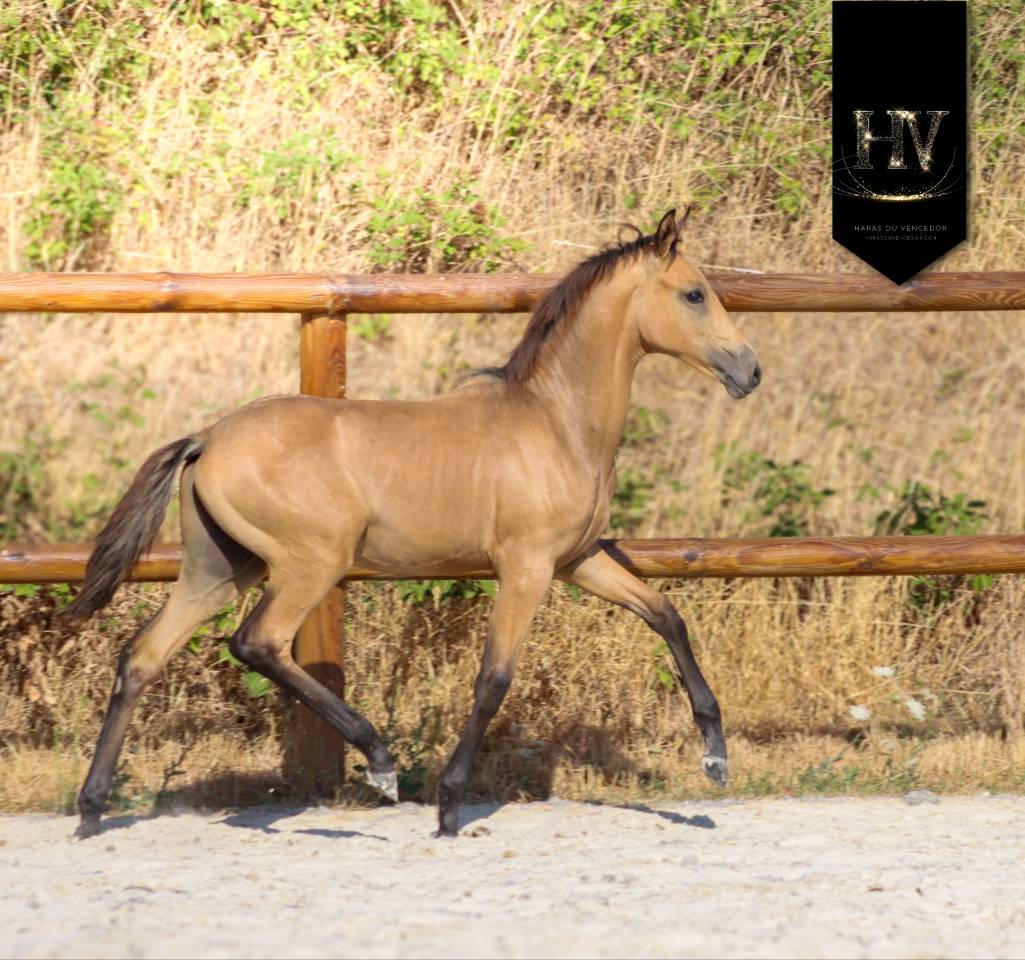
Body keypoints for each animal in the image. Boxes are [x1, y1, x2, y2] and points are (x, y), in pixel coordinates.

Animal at [65, 208, 761, 839]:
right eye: (694, 293)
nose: (750, 370)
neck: (556, 423)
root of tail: (206, 438)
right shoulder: (527, 568)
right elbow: (493, 678)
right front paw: (450, 806)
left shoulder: (576, 560)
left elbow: (666, 614)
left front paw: (715, 757)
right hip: (312, 563)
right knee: (257, 642)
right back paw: (380, 764)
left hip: (218, 570)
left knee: (143, 656)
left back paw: (92, 809)